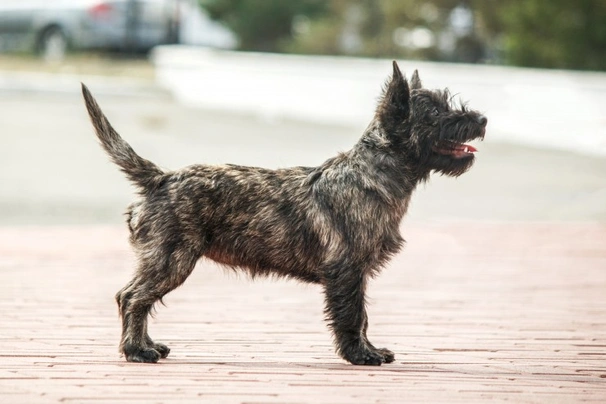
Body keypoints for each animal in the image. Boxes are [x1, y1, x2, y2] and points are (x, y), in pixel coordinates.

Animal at [82, 60, 490, 366]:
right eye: (436, 112)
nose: (482, 119)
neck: (374, 173)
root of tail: (161, 178)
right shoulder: (347, 270)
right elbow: (353, 315)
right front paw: (361, 355)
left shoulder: (355, 272)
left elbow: (363, 317)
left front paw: (369, 350)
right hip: (173, 260)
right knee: (132, 297)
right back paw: (137, 351)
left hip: (166, 261)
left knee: (136, 298)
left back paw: (147, 345)